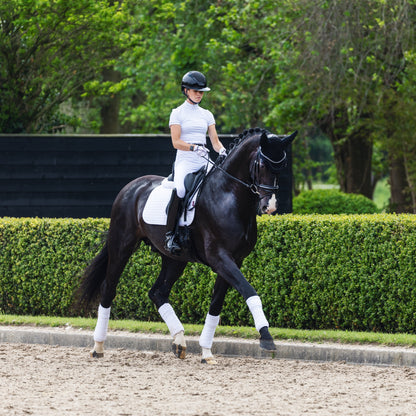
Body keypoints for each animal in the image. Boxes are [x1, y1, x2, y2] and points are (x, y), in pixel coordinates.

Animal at [78, 127, 298, 364]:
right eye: (262, 164)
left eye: (282, 166)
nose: (270, 206)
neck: (228, 195)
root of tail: (132, 187)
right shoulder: (219, 257)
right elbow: (249, 291)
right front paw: (266, 337)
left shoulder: (234, 260)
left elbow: (216, 304)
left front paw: (207, 352)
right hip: (122, 247)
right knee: (109, 289)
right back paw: (98, 346)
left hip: (174, 259)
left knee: (157, 293)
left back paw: (179, 342)